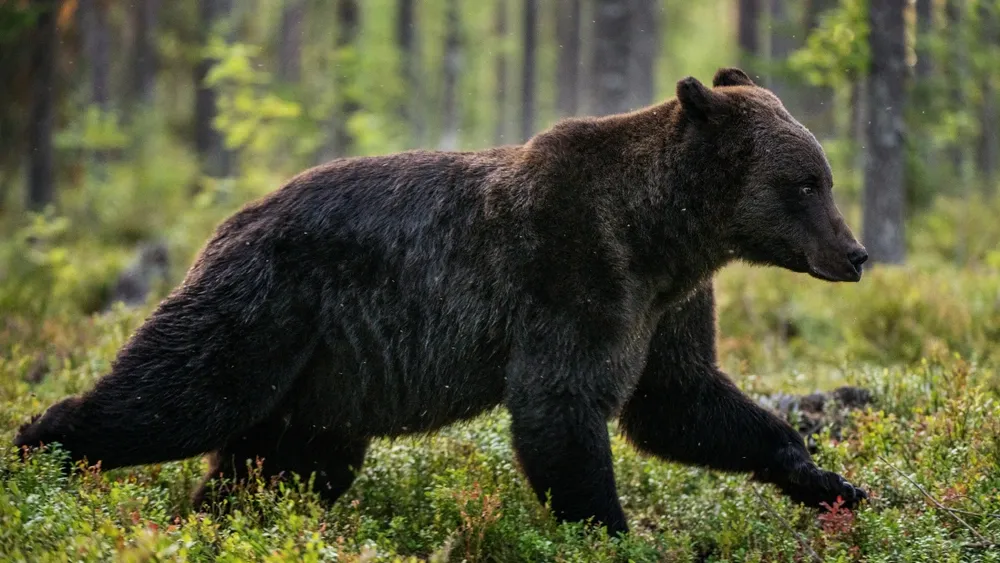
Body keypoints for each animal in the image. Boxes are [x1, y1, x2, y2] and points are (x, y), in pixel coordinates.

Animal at [13, 68, 868, 536]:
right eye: (806, 183)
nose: (855, 253)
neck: (662, 234)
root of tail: (226, 223)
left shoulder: (668, 305)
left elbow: (680, 399)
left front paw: (824, 476)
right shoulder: (573, 274)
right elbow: (562, 408)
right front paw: (607, 525)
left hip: (320, 384)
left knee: (274, 469)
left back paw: (217, 519)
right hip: (266, 309)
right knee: (177, 395)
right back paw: (37, 450)